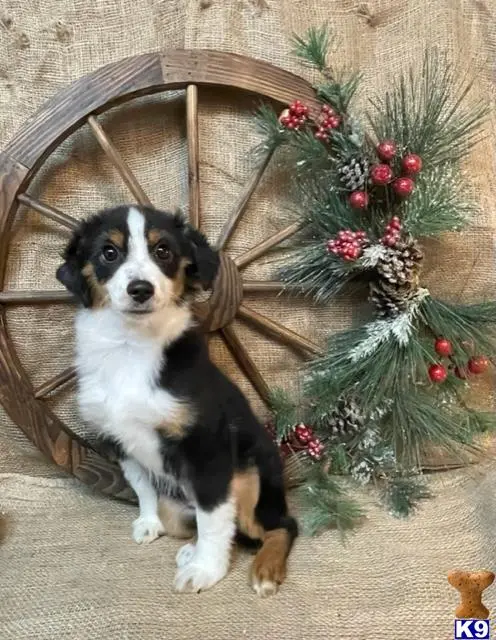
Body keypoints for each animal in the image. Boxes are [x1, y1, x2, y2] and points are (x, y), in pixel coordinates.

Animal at [56, 205, 296, 596]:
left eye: (163, 251)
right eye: (109, 252)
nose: (140, 289)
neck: (131, 348)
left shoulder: (208, 447)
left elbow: (213, 517)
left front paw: (206, 571)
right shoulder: (120, 442)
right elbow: (143, 488)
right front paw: (149, 522)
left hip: (250, 480)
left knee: (280, 525)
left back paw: (264, 569)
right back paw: (190, 548)